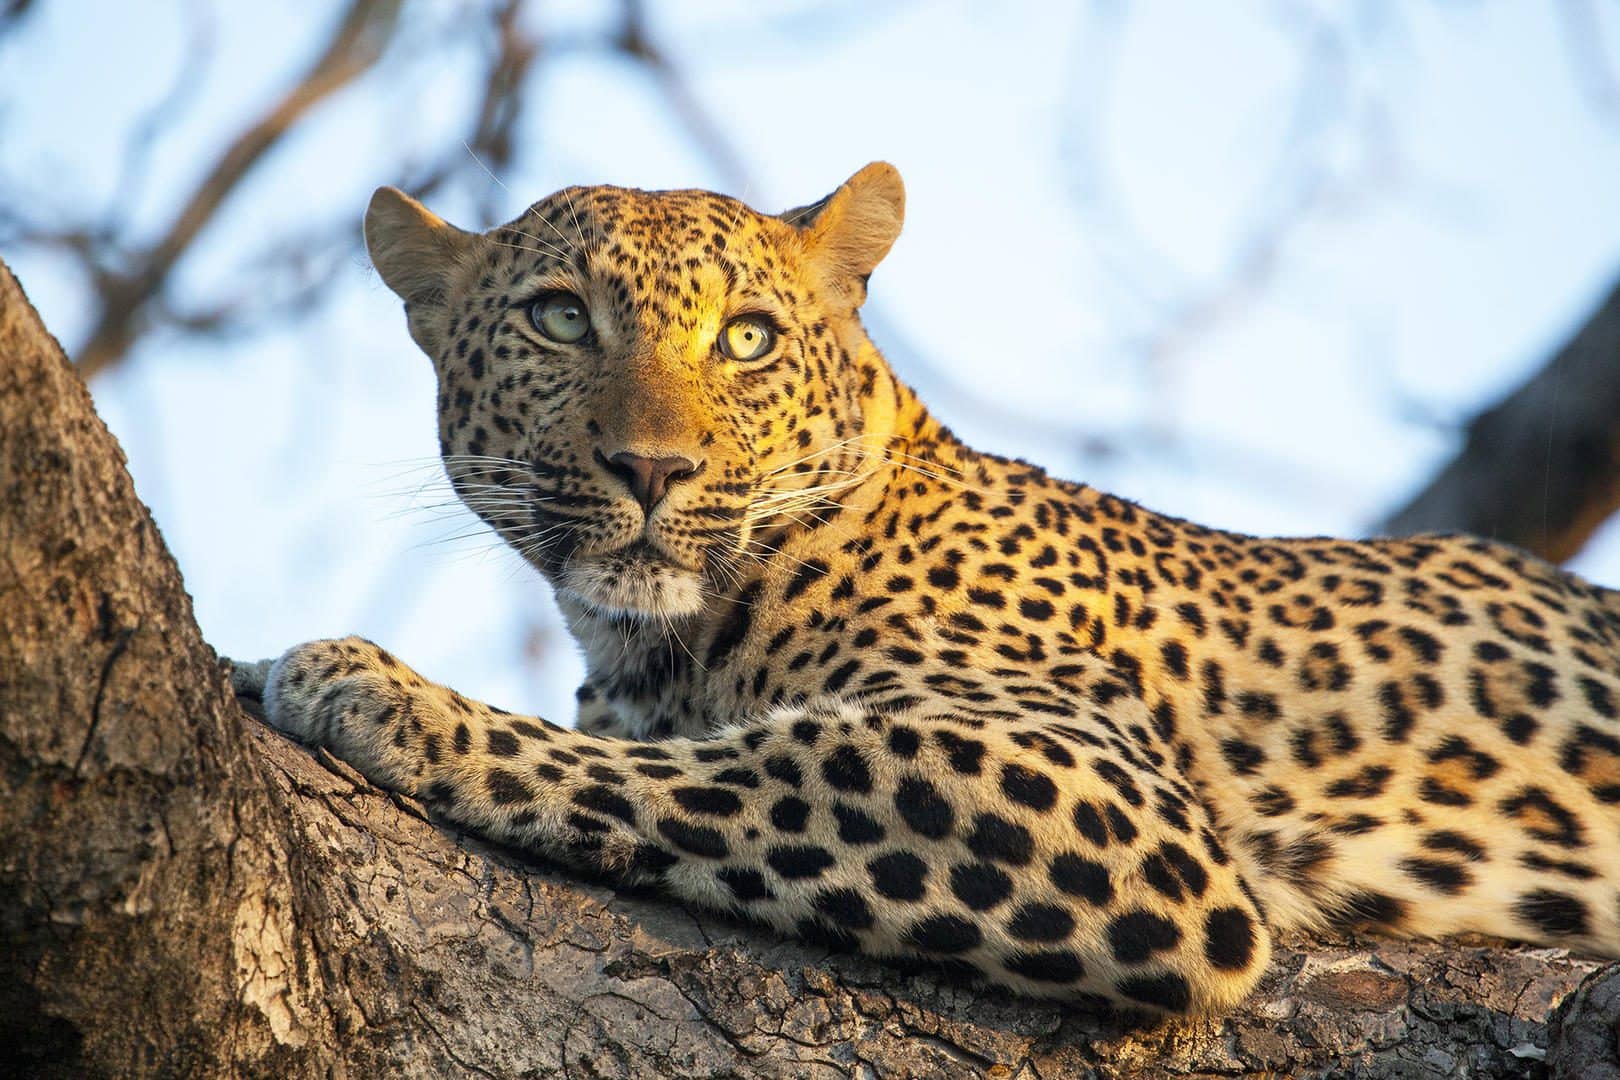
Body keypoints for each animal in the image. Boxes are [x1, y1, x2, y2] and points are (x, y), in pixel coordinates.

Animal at [231, 162, 1620, 1016]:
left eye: (746, 338)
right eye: (561, 319)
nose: (653, 468)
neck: (650, 648)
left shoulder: (1105, 793)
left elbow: (725, 766)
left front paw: (377, 690)